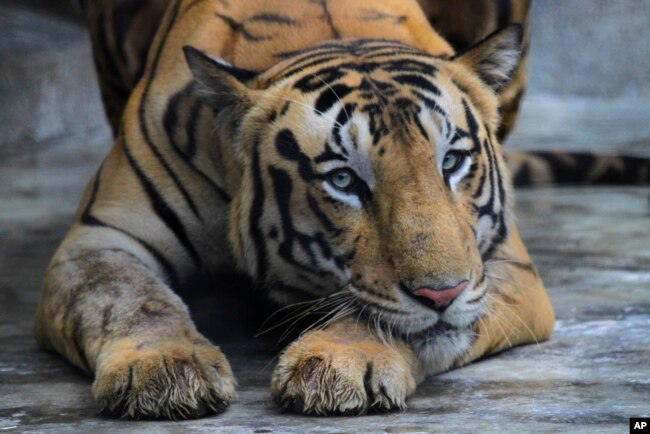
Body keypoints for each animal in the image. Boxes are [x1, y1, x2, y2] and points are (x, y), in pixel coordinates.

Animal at [34, 0, 644, 422]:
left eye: (451, 160)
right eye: (344, 180)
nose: (442, 294)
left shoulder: (505, 265)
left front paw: (338, 363)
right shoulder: (100, 237)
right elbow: (126, 297)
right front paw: (163, 368)